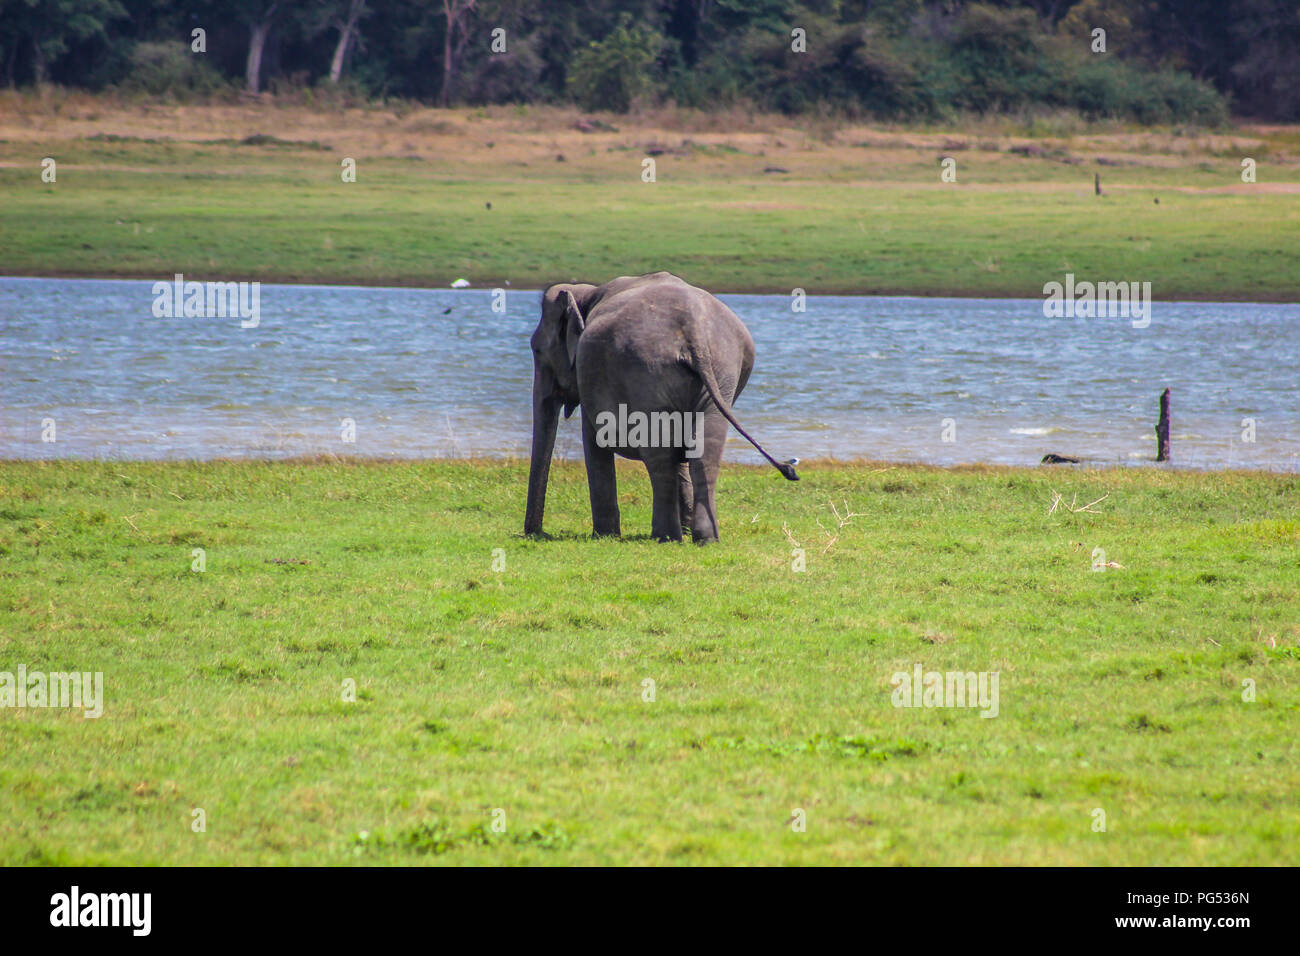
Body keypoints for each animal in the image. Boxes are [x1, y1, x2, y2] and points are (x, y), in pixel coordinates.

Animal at [522, 273, 795, 541]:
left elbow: (595, 442)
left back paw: (665, 536)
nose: (537, 533)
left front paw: (604, 536)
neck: (587, 291)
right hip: (721, 370)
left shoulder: (590, 377)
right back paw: (705, 538)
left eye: (537, 349)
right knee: (704, 447)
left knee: (660, 457)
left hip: (645, 370)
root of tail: (693, 329)